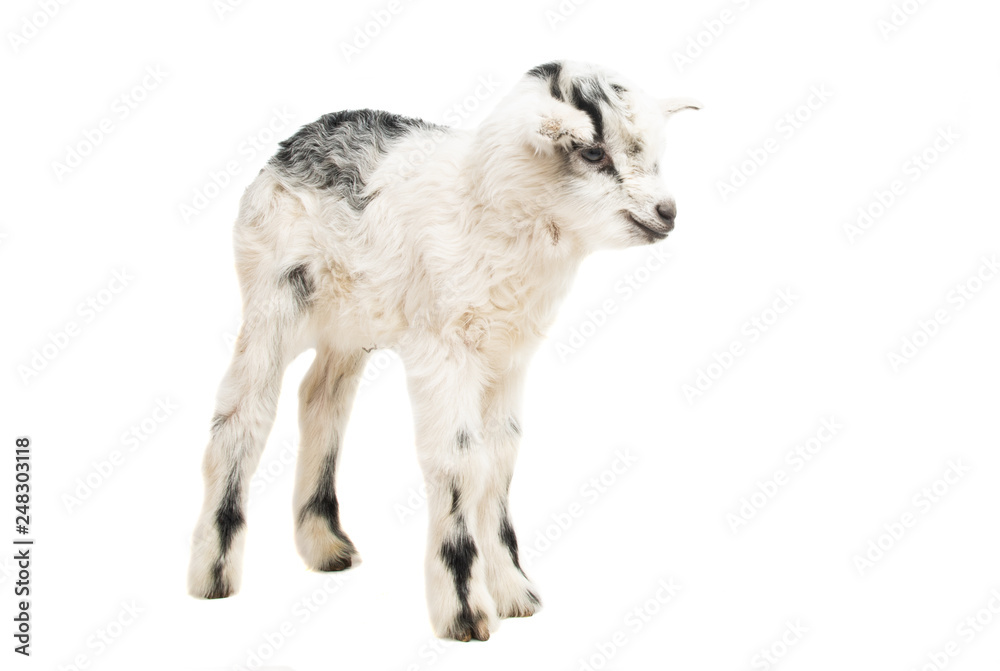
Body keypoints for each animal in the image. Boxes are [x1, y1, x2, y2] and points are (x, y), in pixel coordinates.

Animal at [188, 60, 699, 641]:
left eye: (656, 155)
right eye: (593, 153)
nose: (667, 212)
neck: (484, 207)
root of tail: (293, 144)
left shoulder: (507, 358)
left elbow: (499, 459)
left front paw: (515, 594)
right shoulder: (444, 352)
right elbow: (458, 460)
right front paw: (464, 610)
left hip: (349, 325)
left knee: (321, 400)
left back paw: (325, 547)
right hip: (272, 298)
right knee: (242, 414)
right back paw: (213, 574)